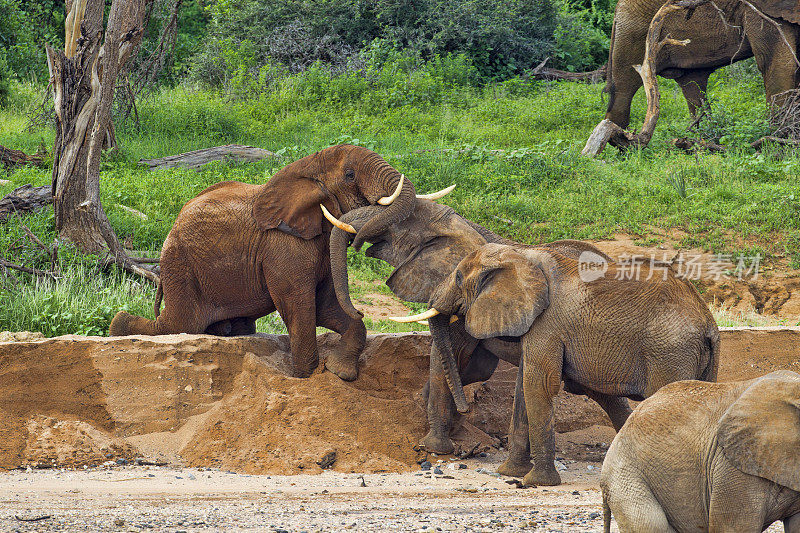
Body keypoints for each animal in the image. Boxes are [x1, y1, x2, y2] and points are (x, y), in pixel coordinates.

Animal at [109, 143, 418, 380]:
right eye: (350, 175)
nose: (359, 242)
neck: (309, 166)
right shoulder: (282, 247)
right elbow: (300, 307)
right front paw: (305, 377)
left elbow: (324, 305)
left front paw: (340, 373)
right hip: (181, 264)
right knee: (177, 324)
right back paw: (117, 326)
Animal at [326, 200, 632, 478]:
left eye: (395, 226)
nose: (356, 242)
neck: (462, 225)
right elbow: (472, 367)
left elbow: (449, 354)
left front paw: (434, 446)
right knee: (610, 397)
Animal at [412, 243, 720, 484]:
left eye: (459, 276)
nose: (465, 408)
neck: (522, 254)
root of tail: (708, 322)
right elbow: (526, 387)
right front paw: (511, 473)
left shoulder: (547, 325)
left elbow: (540, 385)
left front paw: (536, 482)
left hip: (669, 353)